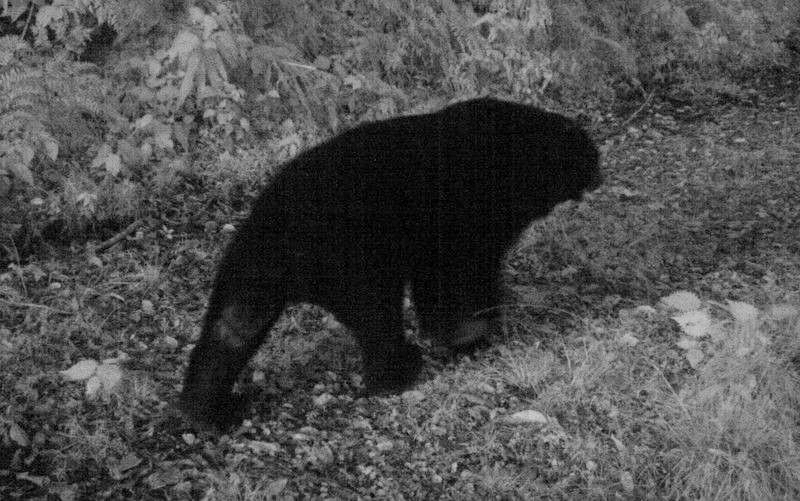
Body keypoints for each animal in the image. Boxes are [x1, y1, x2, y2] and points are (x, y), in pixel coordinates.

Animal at [180, 98, 602, 429]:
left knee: (231, 328)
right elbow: (460, 272)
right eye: (591, 157)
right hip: (353, 253)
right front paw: (474, 330)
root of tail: (279, 230)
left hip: (250, 269)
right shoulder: (467, 209)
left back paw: (209, 411)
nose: (600, 177)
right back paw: (398, 371)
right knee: (377, 316)